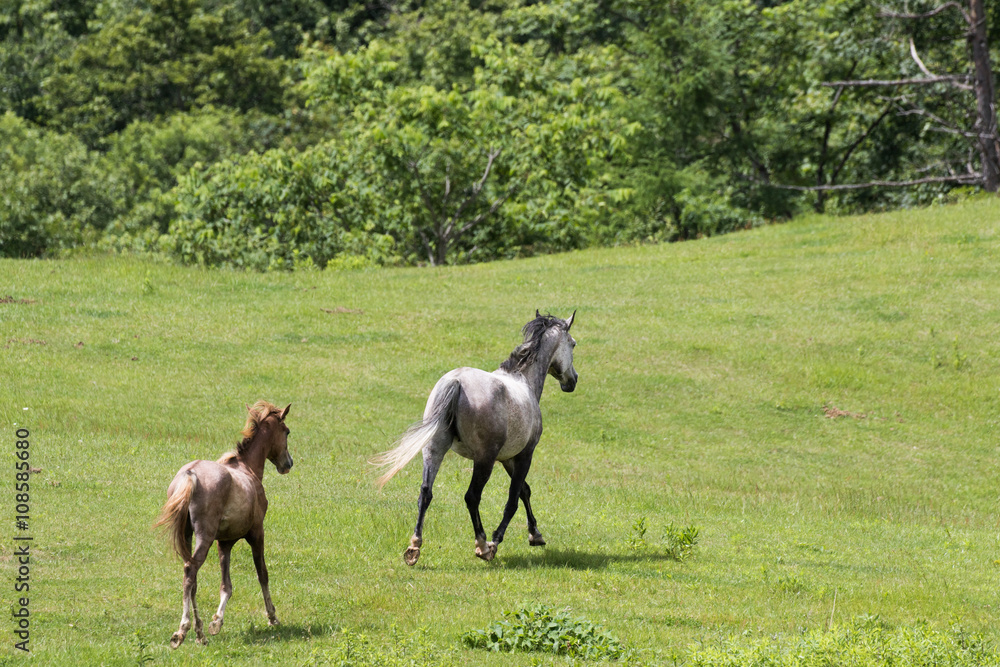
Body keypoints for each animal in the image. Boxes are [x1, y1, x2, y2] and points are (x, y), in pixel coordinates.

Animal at [154, 402, 292, 648]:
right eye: (287, 432)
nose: (288, 464)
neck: (247, 468)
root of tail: (190, 474)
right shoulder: (257, 533)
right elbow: (262, 573)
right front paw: (272, 617)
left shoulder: (225, 542)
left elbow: (225, 586)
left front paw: (216, 622)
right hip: (204, 537)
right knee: (191, 571)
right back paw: (183, 630)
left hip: (189, 536)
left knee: (191, 577)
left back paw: (200, 632)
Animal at [376, 312, 580, 564]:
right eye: (573, 343)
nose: (573, 380)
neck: (523, 381)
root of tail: (456, 382)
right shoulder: (525, 455)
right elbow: (513, 499)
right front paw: (496, 540)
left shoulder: (508, 458)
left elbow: (524, 491)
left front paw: (536, 534)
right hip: (484, 460)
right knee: (472, 496)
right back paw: (482, 545)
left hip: (433, 450)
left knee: (425, 493)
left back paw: (414, 547)